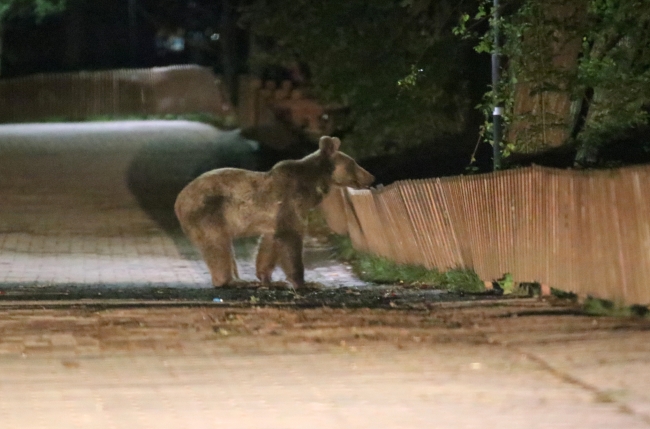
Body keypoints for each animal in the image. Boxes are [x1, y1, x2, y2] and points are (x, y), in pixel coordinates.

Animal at [175, 135, 372, 288]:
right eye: (354, 163)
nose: (371, 176)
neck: (314, 184)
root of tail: (178, 202)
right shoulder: (292, 202)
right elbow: (290, 239)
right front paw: (304, 282)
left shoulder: (275, 219)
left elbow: (270, 244)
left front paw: (269, 278)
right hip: (209, 212)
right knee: (217, 245)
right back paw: (232, 281)